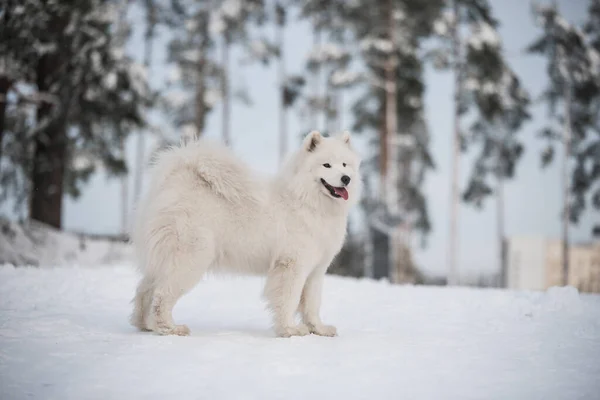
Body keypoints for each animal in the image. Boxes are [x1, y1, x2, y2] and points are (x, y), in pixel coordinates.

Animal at [128, 130, 360, 338]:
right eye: (326, 165)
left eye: (344, 164)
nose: (346, 178)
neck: (308, 202)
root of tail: (175, 180)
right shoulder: (292, 266)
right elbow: (289, 300)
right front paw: (289, 330)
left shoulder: (316, 271)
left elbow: (312, 304)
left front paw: (318, 329)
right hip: (190, 259)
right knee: (161, 296)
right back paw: (170, 328)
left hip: (164, 259)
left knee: (144, 290)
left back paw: (146, 325)